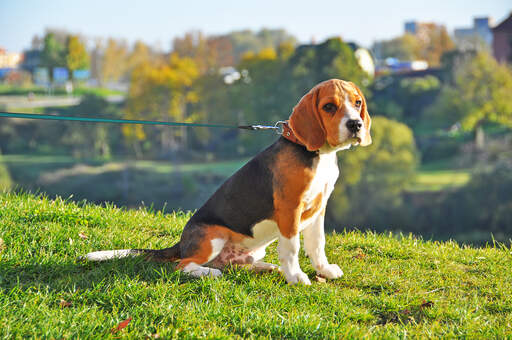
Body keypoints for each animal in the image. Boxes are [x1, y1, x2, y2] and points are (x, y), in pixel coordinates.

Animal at [83, 79, 372, 284]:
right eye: (329, 107)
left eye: (357, 103)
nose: (356, 125)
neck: (318, 154)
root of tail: (181, 243)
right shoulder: (290, 209)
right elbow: (292, 247)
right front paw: (296, 277)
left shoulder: (318, 209)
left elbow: (316, 244)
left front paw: (325, 270)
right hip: (214, 237)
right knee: (183, 266)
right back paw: (209, 273)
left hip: (249, 249)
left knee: (235, 263)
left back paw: (266, 267)